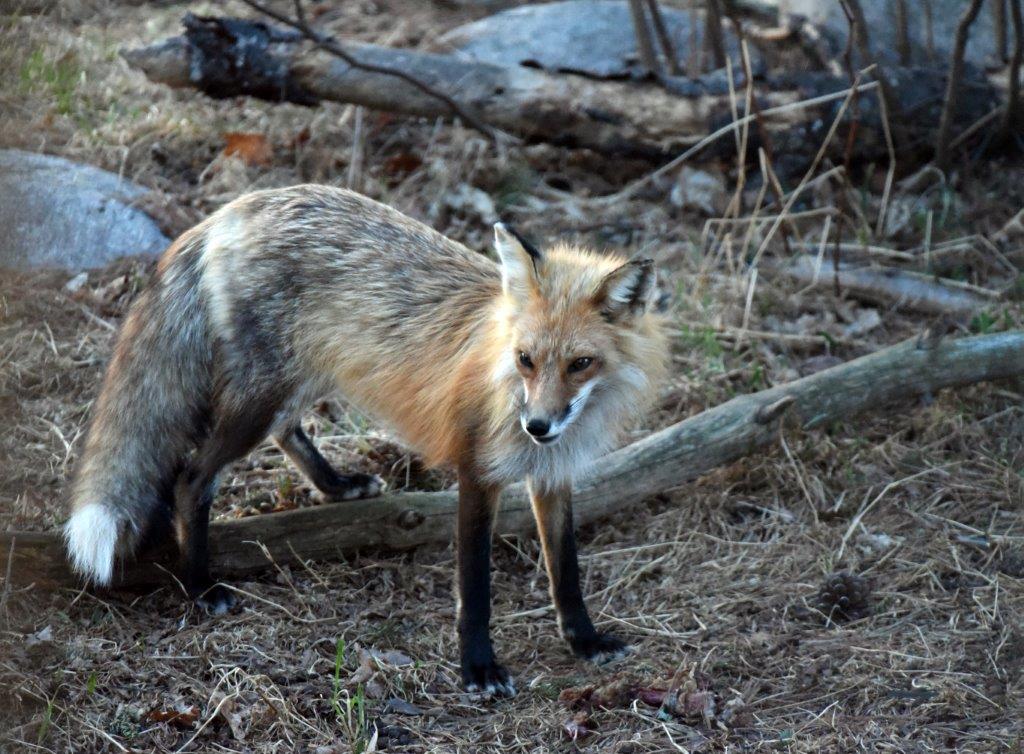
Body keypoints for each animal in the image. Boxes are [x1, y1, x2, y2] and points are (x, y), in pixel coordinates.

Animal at [63, 185, 668, 694]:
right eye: (526, 359)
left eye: (580, 364)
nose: (537, 427)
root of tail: (234, 207)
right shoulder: (478, 470)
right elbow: (475, 588)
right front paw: (477, 667)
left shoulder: (552, 477)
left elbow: (566, 572)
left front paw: (584, 640)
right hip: (262, 395)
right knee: (191, 479)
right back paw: (199, 587)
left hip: (299, 379)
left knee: (284, 431)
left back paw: (336, 486)